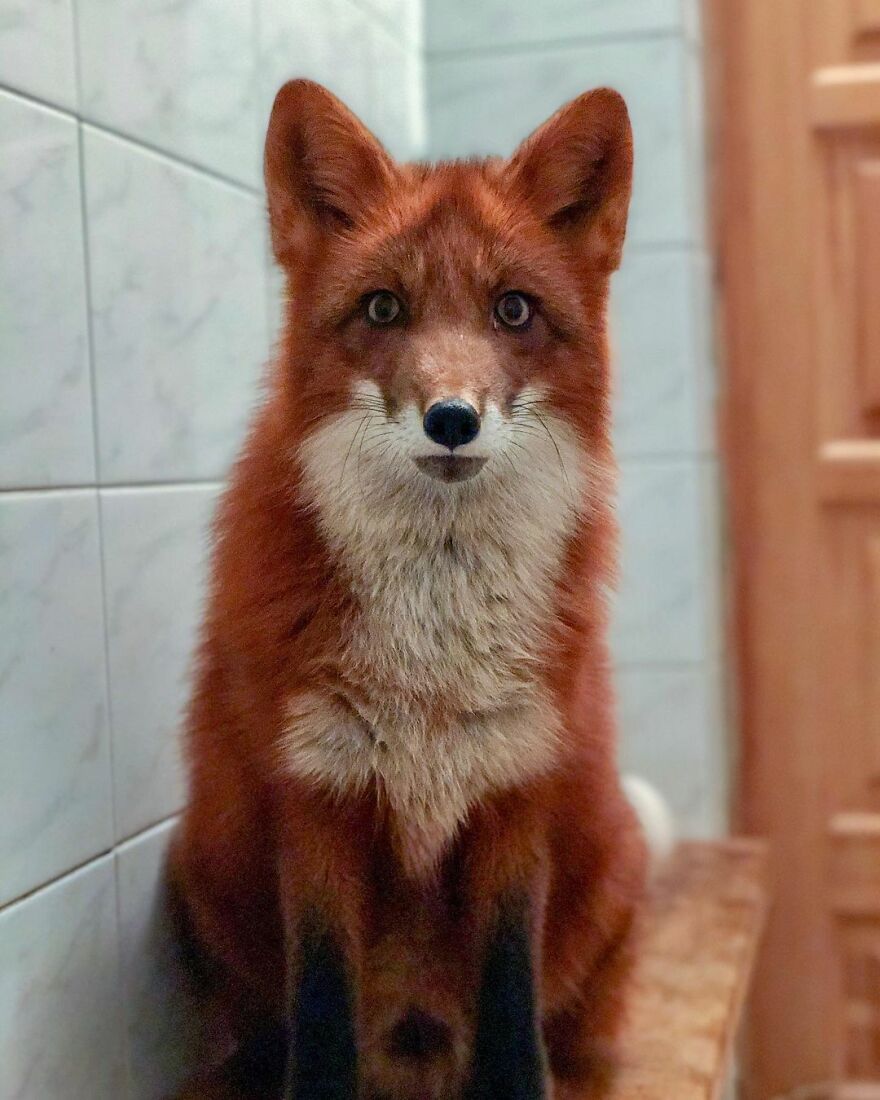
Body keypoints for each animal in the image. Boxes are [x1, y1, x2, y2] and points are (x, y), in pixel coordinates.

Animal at [168, 79, 648, 1100]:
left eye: (514, 311)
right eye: (384, 307)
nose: (453, 419)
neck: (434, 656)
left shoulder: (515, 793)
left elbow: (511, 1017)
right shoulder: (315, 799)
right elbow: (320, 1017)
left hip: (616, 864)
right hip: (201, 865)